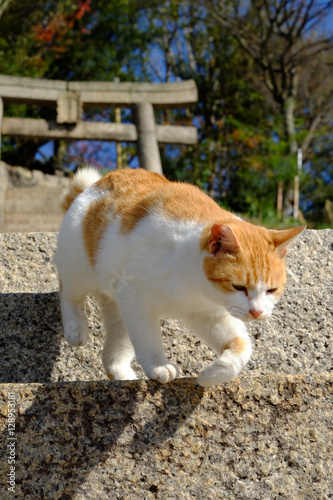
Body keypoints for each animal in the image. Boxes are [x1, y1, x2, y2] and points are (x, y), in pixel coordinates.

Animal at [53, 168, 304, 386]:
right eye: (238, 286)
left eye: (271, 290)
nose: (257, 312)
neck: (193, 286)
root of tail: (97, 183)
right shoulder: (135, 296)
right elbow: (148, 337)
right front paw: (158, 366)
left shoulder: (209, 314)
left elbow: (242, 348)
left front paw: (211, 375)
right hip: (78, 265)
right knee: (69, 293)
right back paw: (76, 328)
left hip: (119, 310)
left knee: (113, 352)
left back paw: (124, 375)